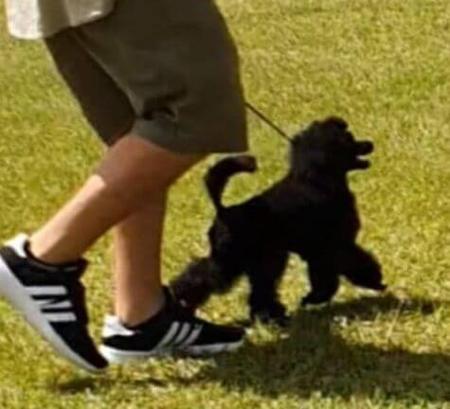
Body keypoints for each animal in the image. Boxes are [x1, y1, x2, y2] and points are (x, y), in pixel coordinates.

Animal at [170, 117, 386, 325]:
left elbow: (323, 277)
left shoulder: (319, 251)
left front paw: (313, 298)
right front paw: (374, 281)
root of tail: (222, 211)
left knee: (254, 290)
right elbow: (351, 264)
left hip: (261, 260)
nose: (369, 144)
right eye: (349, 140)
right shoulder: (335, 245)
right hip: (233, 260)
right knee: (209, 279)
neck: (316, 179)